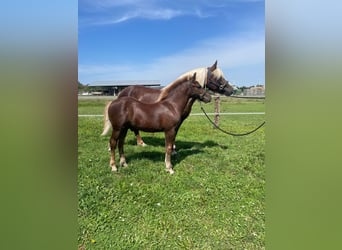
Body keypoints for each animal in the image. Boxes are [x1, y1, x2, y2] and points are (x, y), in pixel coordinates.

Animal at [101, 60, 234, 149]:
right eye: (218, 78)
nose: (231, 90)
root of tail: (122, 92)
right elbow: (173, 134)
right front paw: (173, 149)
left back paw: (141, 143)